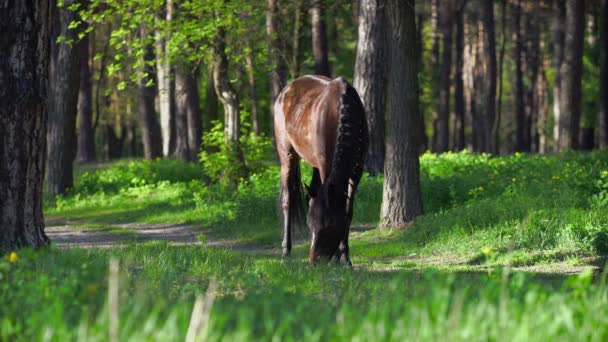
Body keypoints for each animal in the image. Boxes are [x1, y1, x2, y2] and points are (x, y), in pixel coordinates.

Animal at [274, 75, 368, 264]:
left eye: (329, 226)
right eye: (310, 225)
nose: (314, 260)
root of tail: (284, 91)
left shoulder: (356, 171)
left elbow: (348, 212)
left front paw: (345, 257)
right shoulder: (326, 166)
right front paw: (337, 259)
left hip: (315, 165)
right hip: (287, 155)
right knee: (288, 200)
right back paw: (286, 253)